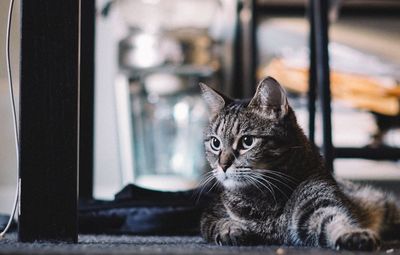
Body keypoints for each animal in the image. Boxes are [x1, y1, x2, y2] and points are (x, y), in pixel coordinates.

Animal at [200, 76, 400, 251]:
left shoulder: (319, 204)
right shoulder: (210, 215)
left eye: (247, 141)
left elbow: (336, 219)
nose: (223, 165)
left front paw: (353, 234)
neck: (263, 197)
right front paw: (230, 230)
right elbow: (216, 225)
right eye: (215, 143)